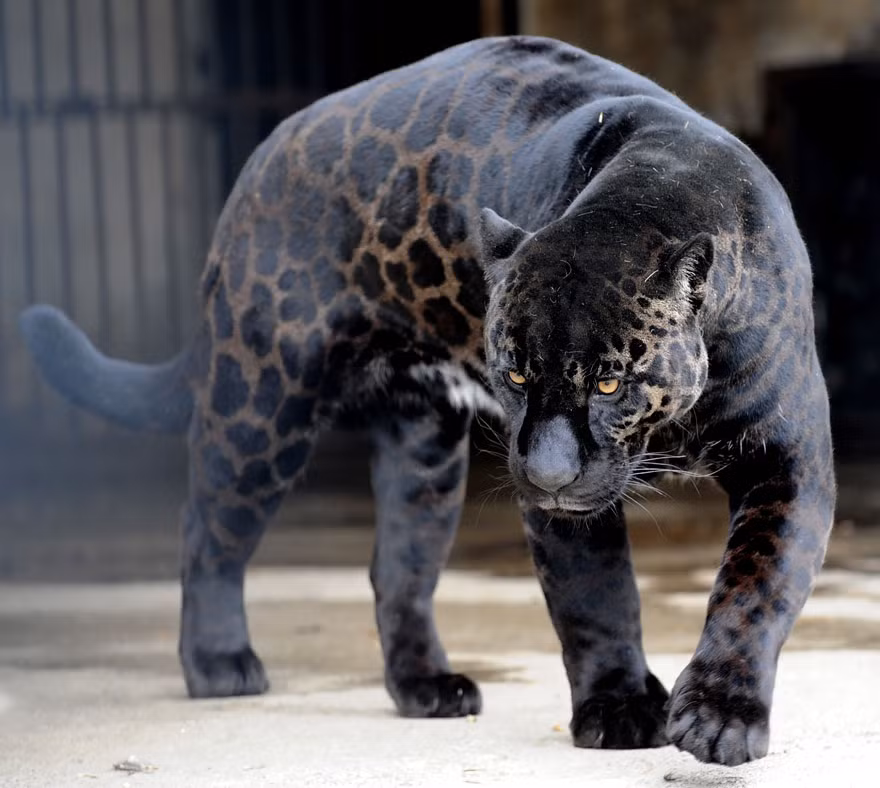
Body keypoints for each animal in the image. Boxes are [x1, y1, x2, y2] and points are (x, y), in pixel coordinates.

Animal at [20, 35, 835, 767]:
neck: (654, 186)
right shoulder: (570, 510)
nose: (545, 475)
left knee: (398, 569)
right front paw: (620, 709)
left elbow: (755, 587)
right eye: (513, 374)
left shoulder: (787, 460)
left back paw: (426, 687)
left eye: (608, 382)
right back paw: (219, 663)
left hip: (424, 455)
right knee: (208, 529)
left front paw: (721, 718)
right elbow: (597, 596)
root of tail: (259, 162)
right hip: (262, 402)